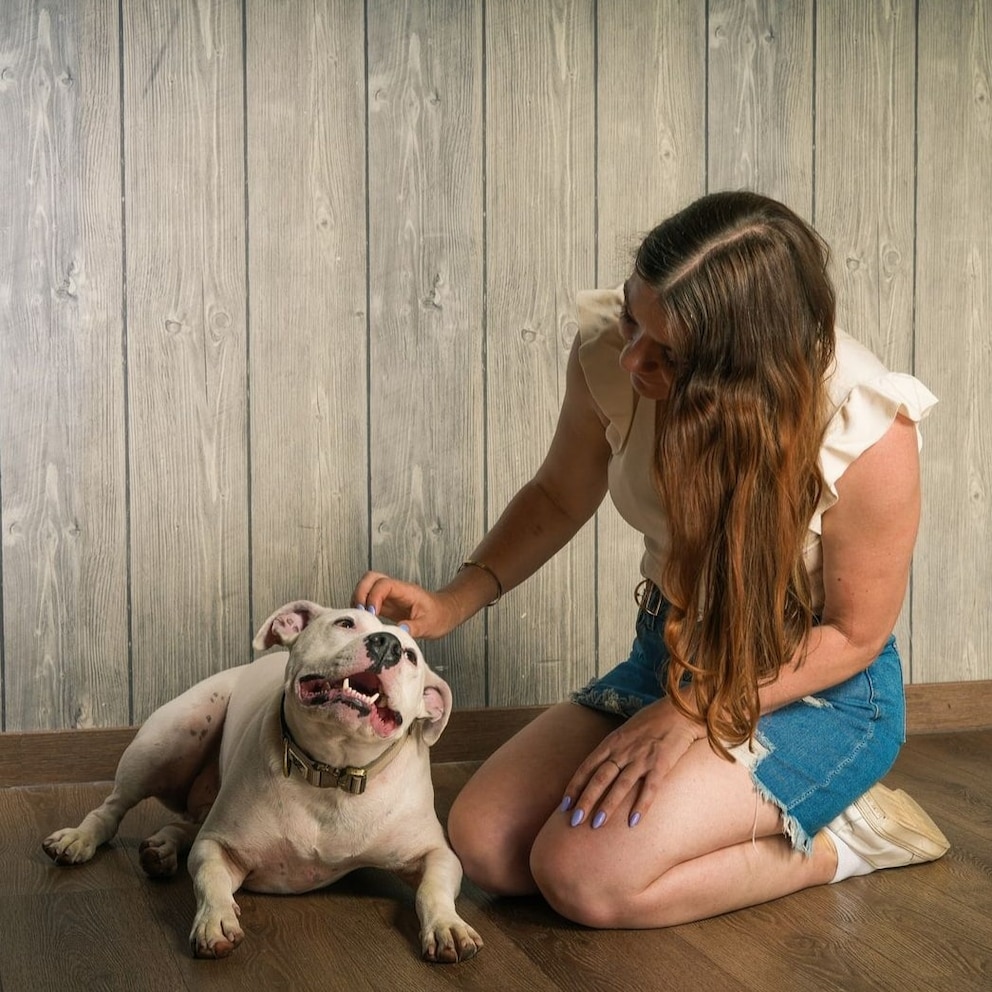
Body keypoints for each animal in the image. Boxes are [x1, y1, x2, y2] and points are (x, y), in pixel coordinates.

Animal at [42, 600, 484, 964]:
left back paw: (163, 847)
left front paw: (448, 926)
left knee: (189, 822)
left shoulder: (435, 853)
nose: (387, 644)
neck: (331, 773)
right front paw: (216, 920)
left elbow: (432, 889)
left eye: (410, 655)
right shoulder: (219, 846)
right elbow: (210, 878)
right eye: (345, 623)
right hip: (167, 739)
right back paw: (78, 839)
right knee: (113, 806)